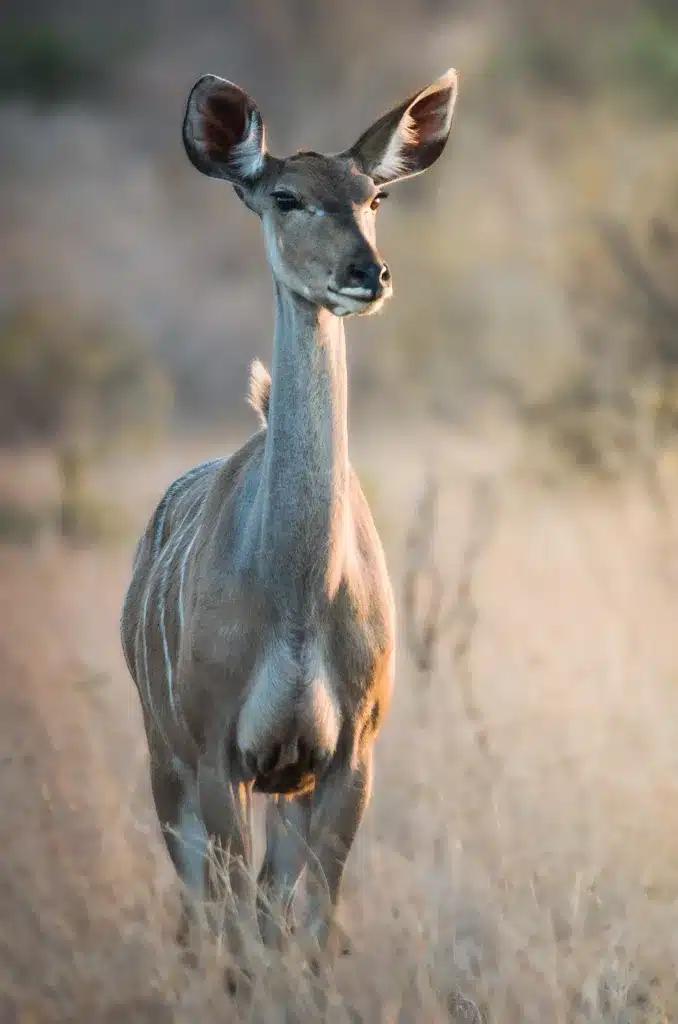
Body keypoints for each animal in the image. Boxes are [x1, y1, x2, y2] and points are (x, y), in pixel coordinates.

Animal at [120, 67, 458, 977]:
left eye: (375, 196)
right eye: (285, 196)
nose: (367, 273)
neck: (300, 600)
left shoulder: (343, 762)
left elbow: (304, 932)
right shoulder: (218, 755)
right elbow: (242, 933)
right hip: (165, 761)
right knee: (204, 914)